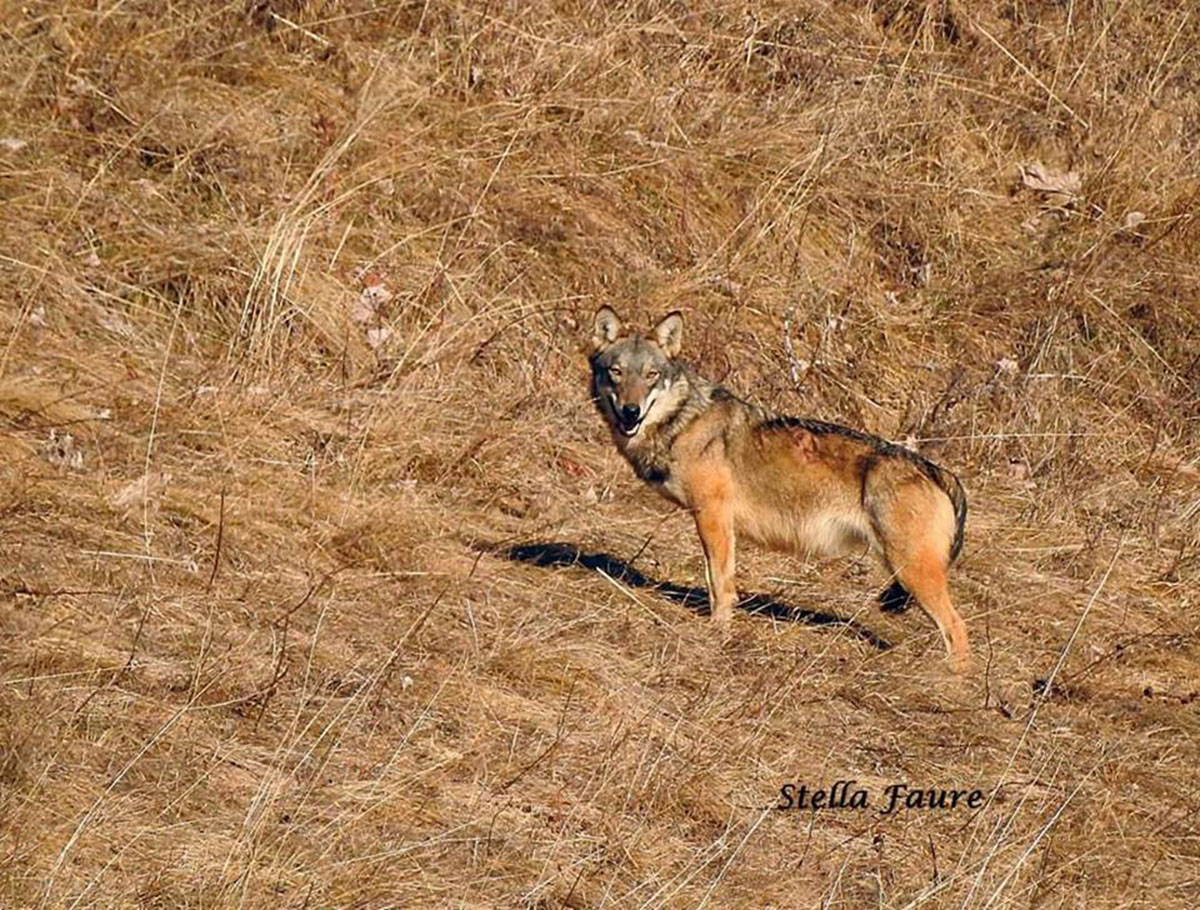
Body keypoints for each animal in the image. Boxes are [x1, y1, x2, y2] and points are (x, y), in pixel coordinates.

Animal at [590, 309, 974, 672]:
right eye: (617, 372)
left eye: (651, 375)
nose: (631, 411)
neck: (683, 421)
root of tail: (938, 471)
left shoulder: (713, 516)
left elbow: (719, 583)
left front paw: (717, 632)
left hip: (911, 572)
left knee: (958, 628)